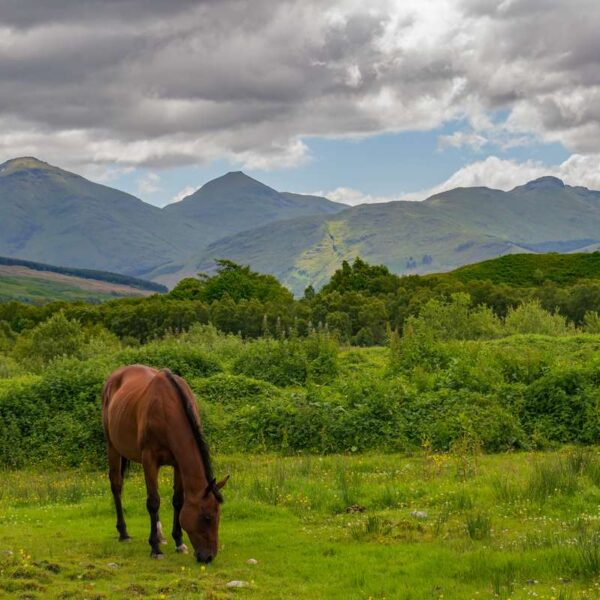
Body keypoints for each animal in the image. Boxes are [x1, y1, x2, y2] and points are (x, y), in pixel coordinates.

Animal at [102, 364, 229, 564]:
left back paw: (161, 535)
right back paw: (124, 533)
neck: (166, 409)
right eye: (207, 517)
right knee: (117, 486)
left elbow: (177, 500)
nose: (208, 557)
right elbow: (153, 502)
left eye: (218, 516)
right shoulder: (149, 459)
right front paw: (155, 548)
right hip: (113, 447)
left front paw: (179, 542)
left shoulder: (178, 464)